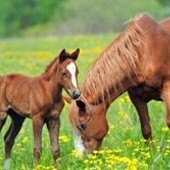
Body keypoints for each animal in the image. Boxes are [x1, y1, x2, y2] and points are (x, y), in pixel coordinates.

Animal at [68, 13, 170, 154]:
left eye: (83, 125)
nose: (83, 156)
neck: (144, 54)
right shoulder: (136, 97)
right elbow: (146, 128)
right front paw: (151, 153)